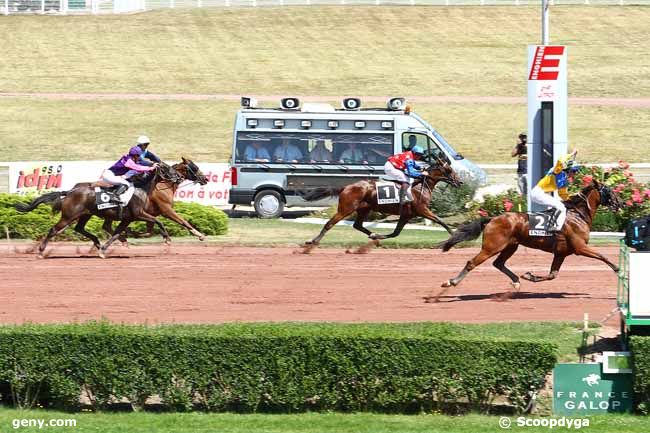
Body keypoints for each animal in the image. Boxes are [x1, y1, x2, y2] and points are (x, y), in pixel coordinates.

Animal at [15, 162, 182, 256]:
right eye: (166, 168)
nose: (179, 177)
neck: (140, 189)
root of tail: (69, 192)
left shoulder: (127, 219)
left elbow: (116, 234)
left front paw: (104, 249)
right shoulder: (139, 213)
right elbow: (158, 221)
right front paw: (167, 239)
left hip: (84, 215)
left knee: (79, 228)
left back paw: (97, 242)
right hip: (69, 216)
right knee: (54, 230)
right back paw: (40, 251)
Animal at [300, 162, 460, 250]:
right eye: (450, 170)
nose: (460, 182)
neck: (421, 185)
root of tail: (346, 187)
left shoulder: (406, 215)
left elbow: (396, 233)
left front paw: (378, 236)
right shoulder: (422, 210)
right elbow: (441, 221)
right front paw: (454, 236)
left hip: (364, 209)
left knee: (357, 225)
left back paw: (372, 235)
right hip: (346, 208)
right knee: (330, 223)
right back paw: (313, 241)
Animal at [436, 181, 624, 298]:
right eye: (609, 190)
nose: (621, 203)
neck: (577, 215)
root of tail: (491, 219)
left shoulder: (561, 253)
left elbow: (552, 275)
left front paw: (529, 275)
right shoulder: (580, 247)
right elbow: (603, 256)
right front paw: (619, 270)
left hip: (511, 246)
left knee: (498, 263)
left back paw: (516, 282)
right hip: (492, 247)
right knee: (472, 263)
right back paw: (450, 282)